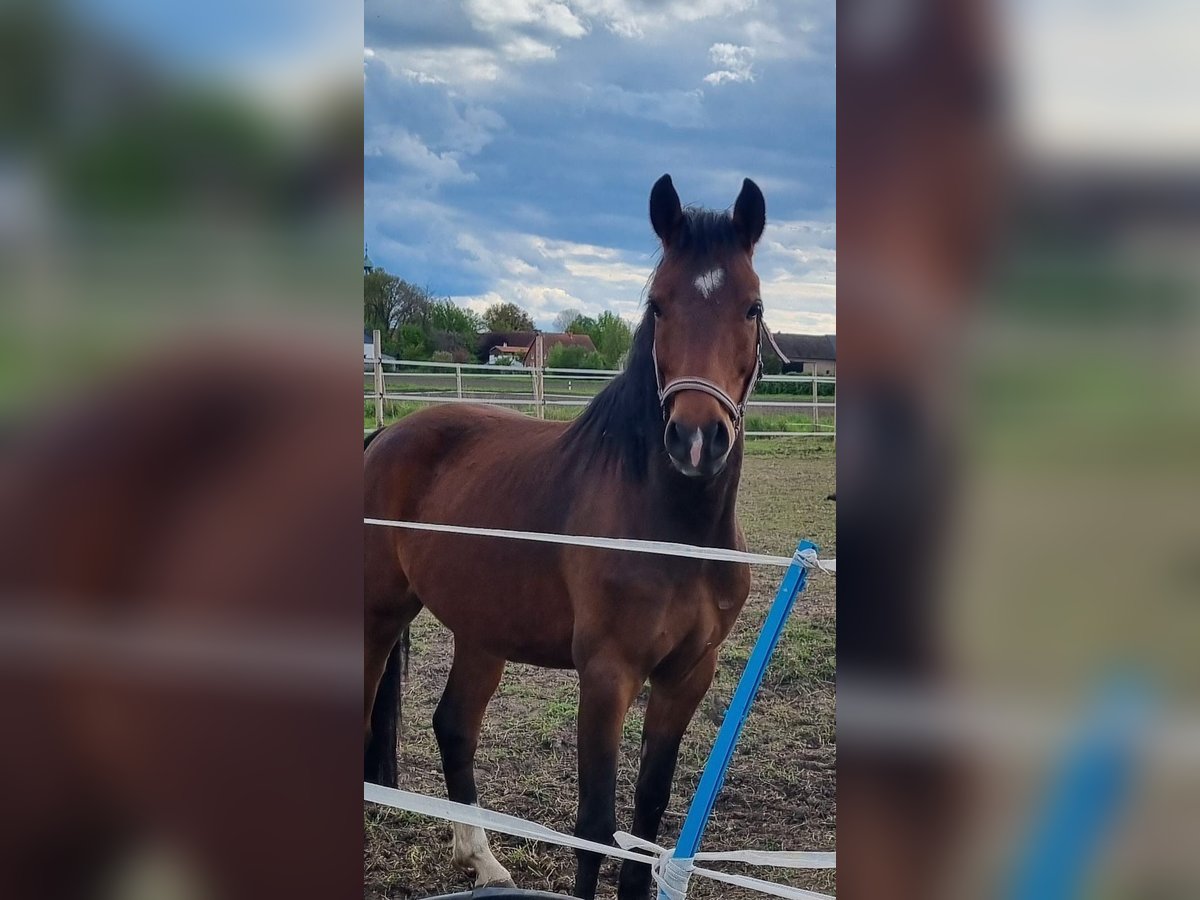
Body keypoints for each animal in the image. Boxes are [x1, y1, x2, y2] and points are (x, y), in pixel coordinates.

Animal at [364, 172, 772, 897]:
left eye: (751, 308)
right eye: (658, 306)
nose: (697, 440)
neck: (674, 534)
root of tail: (385, 433)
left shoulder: (686, 676)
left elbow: (647, 815)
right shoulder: (607, 675)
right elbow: (595, 824)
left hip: (482, 629)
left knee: (454, 726)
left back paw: (483, 862)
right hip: (379, 613)